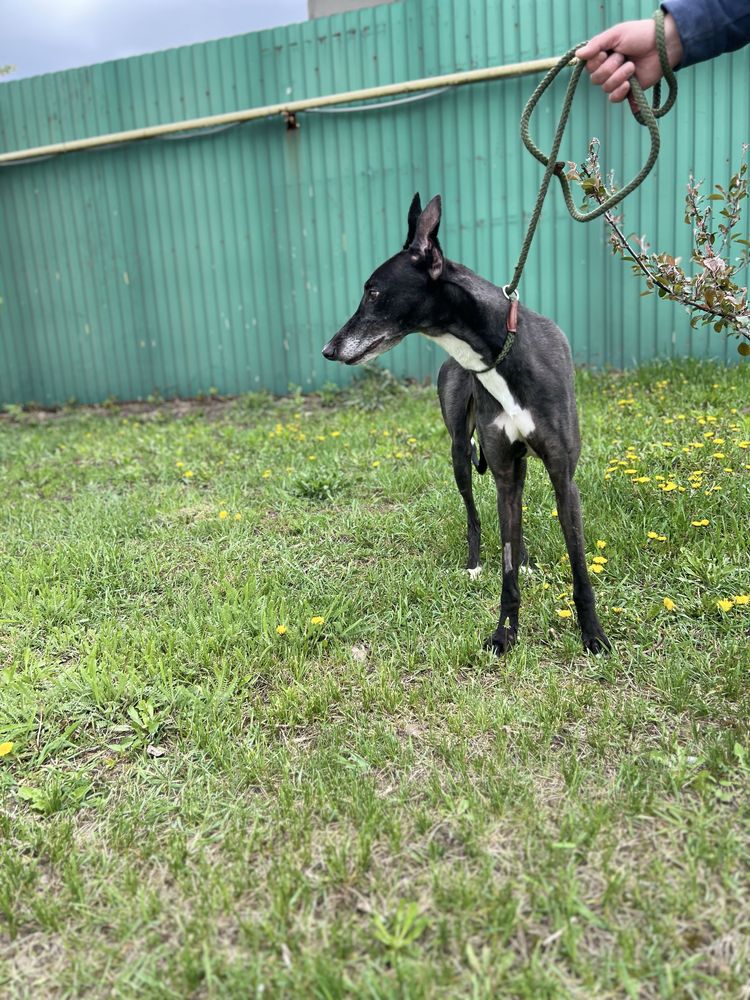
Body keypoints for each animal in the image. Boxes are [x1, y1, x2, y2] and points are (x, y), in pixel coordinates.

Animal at [324, 195, 612, 656]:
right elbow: (505, 570)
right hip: (462, 451)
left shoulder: (562, 475)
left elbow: (579, 566)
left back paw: (527, 561)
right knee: (474, 515)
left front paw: (593, 635)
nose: (329, 349)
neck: (498, 350)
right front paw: (505, 633)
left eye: (373, 291)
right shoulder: (502, 469)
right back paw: (475, 564)